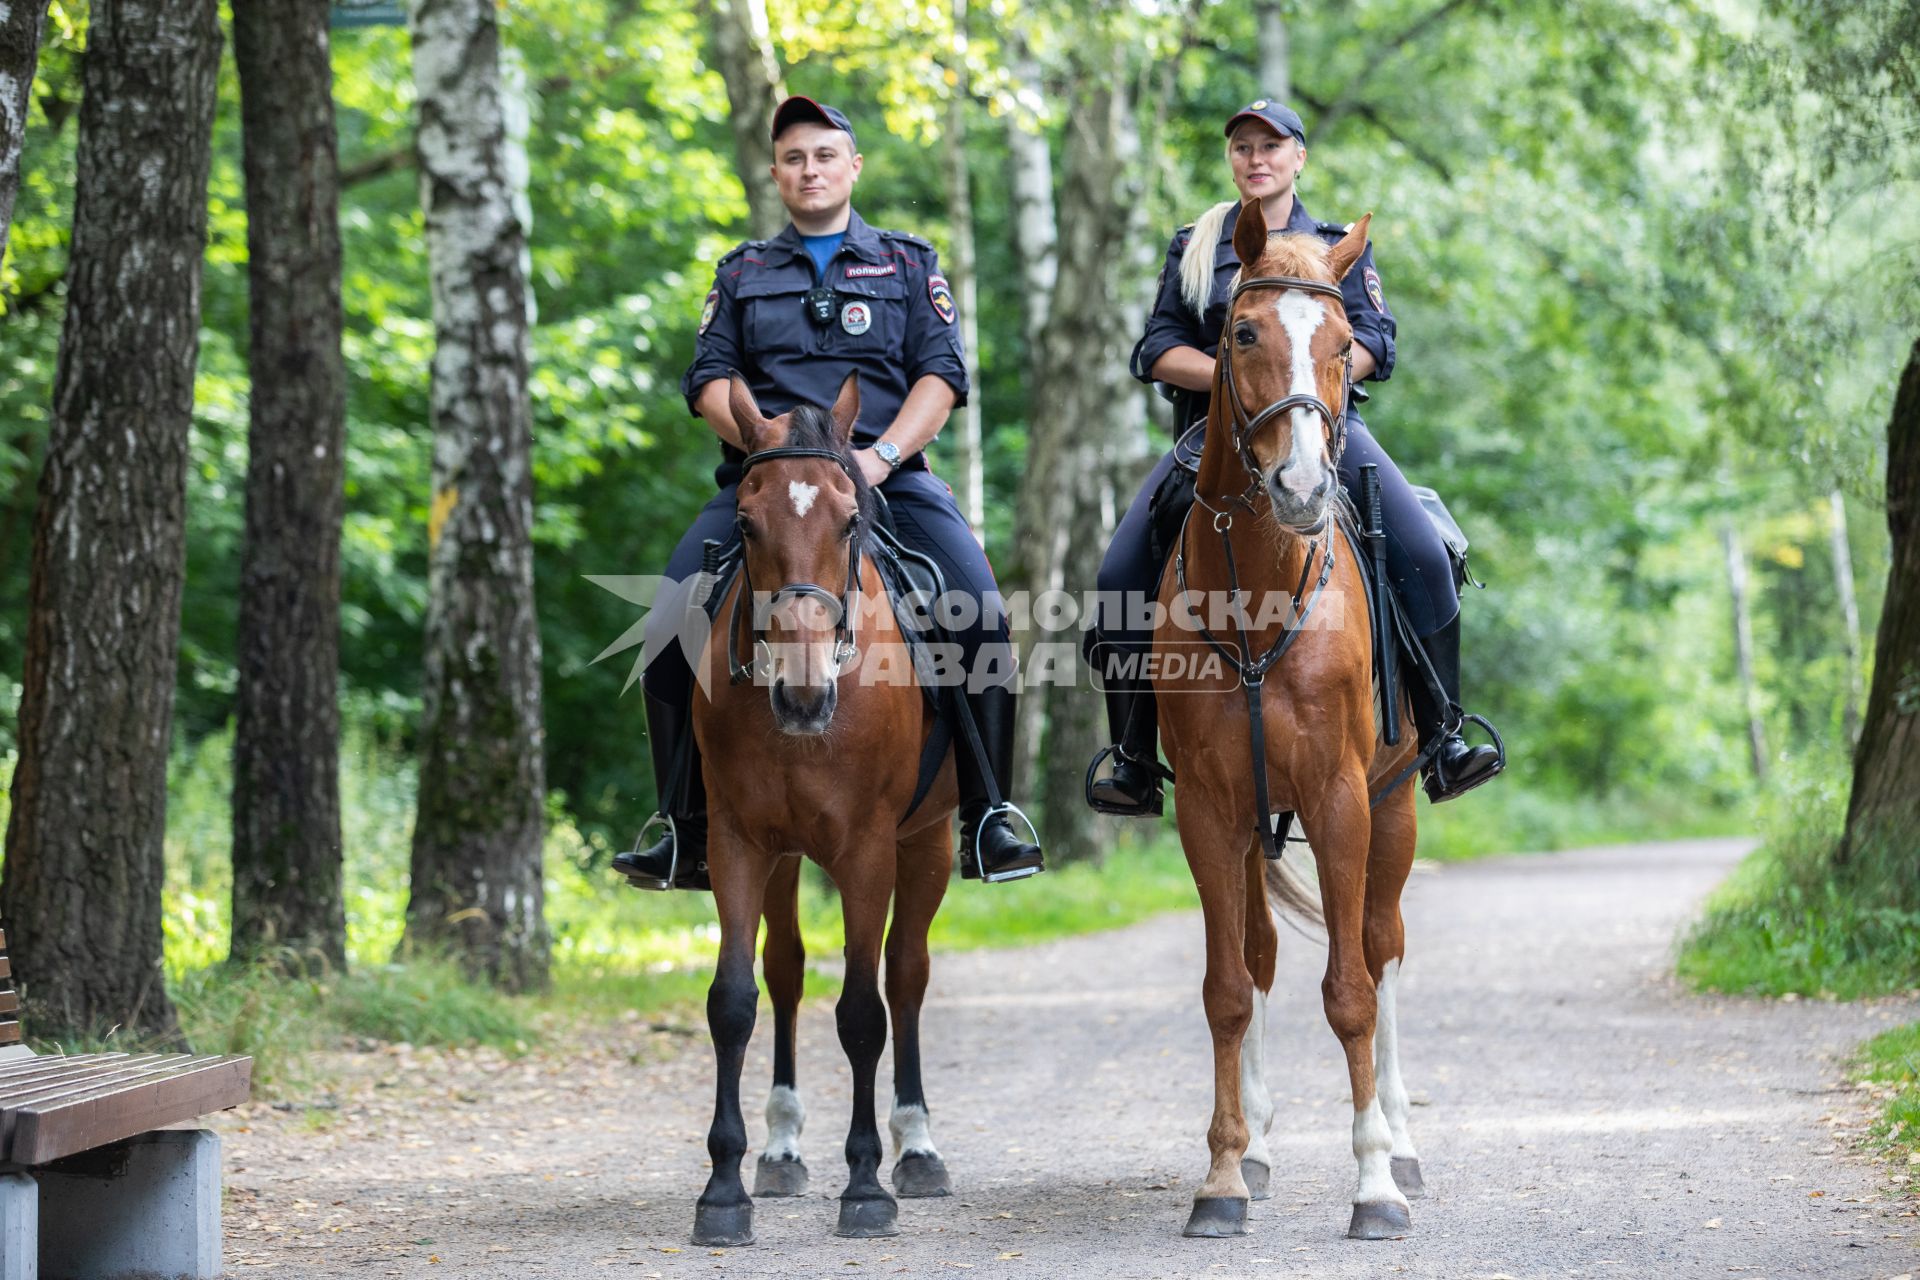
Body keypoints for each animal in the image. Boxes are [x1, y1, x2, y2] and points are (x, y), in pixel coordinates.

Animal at [687, 376, 960, 1243]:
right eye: (746, 522)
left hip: (930, 843)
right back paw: (780, 1150)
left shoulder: (868, 851)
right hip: (783, 858)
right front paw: (723, 1190)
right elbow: (734, 1001)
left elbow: (864, 1011)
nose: (803, 698)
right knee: (785, 972)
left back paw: (917, 1147)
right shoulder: (739, 844)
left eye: (849, 520)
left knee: (906, 977)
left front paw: (866, 1184)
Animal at [1152, 200, 1428, 1243]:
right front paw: (1225, 1175)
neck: (1263, 601)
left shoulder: (1342, 799)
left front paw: (1375, 1185)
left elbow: (1350, 993)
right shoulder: (1210, 810)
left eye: (1346, 344)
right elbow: (1229, 990)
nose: (1304, 491)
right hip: (1252, 834)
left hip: (1395, 810)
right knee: (1265, 957)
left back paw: (1404, 1140)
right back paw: (1263, 1148)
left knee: (1383, 951)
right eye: (1241, 333)